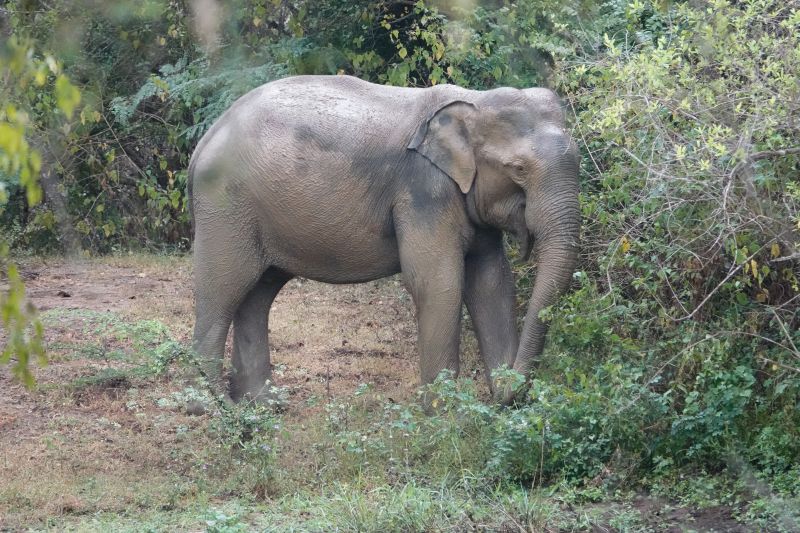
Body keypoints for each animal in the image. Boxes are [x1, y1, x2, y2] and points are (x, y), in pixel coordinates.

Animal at [188, 75, 580, 405]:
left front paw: (500, 413)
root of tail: (206, 138)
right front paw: (446, 417)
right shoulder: (424, 192)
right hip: (225, 210)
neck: (473, 101)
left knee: (258, 294)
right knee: (224, 288)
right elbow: (438, 284)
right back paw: (215, 407)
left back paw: (260, 406)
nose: (506, 395)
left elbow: (492, 283)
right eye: (518, 169)